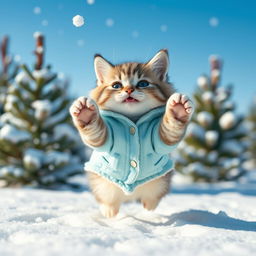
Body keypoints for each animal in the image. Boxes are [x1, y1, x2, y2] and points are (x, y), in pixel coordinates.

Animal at [69, 49, 193, 218]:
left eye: (143, 83)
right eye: (116, 85)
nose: (128, 90)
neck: (132, 120)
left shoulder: (157, 137)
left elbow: (169, 132)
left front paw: (177, 110)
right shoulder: (108, 136)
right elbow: (96, 134)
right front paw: (85, 113)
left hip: (161, 181)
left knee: (151, 198)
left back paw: (149, 207)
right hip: (101, 184)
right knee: (108, 199)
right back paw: (109, 210)